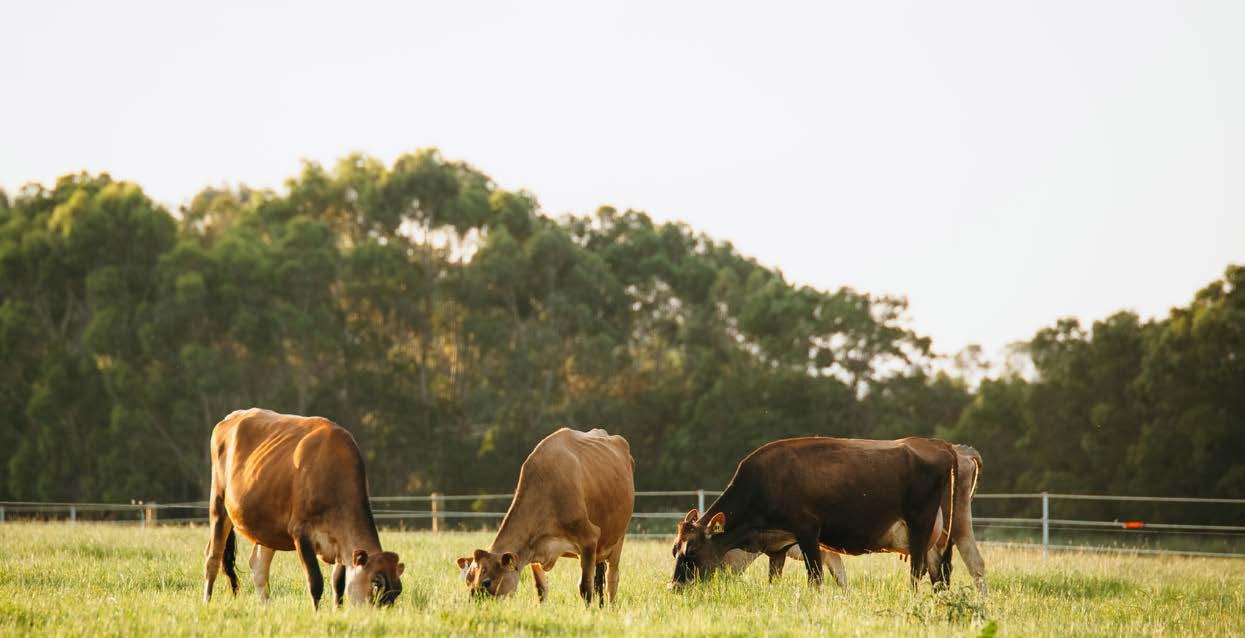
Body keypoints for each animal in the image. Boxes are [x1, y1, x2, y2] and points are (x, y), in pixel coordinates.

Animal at [202, 408, 404, 609]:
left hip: (267, 527)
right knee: (213, 558)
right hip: (218, 502)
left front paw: (337, 610)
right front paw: (317, 612)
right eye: (376, 583)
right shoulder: (301, 533)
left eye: (397, 591)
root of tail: (232, 417)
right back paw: (206, 601)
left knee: (258, 566)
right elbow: (315, 581)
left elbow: (338, 583)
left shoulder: (341, 542)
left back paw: (266, 607)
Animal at [455, 428, 634, 607]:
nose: (473, 606)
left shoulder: (589, 538)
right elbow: (540, 588)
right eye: (468, 580)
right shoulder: (534, 549)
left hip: (618, 538)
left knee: (612, 579)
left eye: (487, 582)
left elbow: (585, 586)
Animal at [669, 436, 957, 591]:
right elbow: (774, 579)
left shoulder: (808, 531)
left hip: (920, 525)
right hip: (934, 539)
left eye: (692, 551)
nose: (674, 588)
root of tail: (938, 444)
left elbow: (815, 577)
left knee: (917, 571)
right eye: (675, 549)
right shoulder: (777, 546)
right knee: (938, 573)